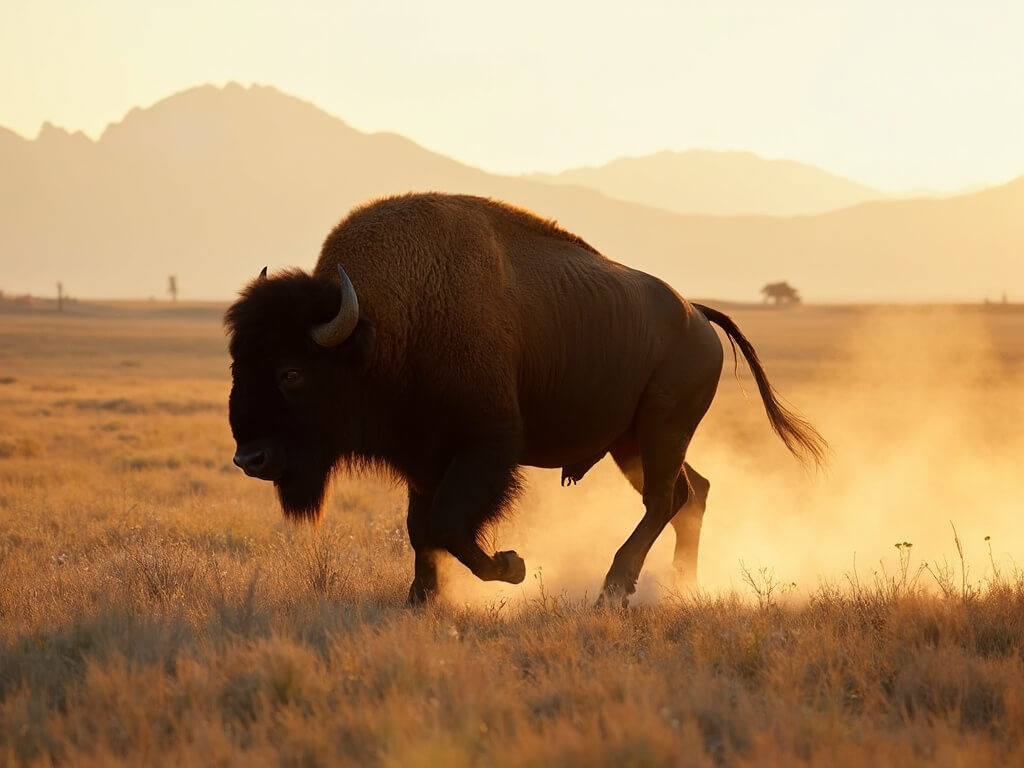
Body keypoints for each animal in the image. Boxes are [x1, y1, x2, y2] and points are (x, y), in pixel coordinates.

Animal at [226, 193, 825, 605]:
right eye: (237, 362)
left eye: (291, 372)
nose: (250, 458)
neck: (384, 326)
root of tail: (696, 314)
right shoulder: (424, 460)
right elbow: (421, 528)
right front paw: (422, 598)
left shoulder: (484, 449)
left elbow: (447, 523)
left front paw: (509, 567)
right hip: (632, 441)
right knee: (689, 493)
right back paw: (679, 587)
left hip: (661, 428)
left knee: (663, 500)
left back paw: (614, 589)